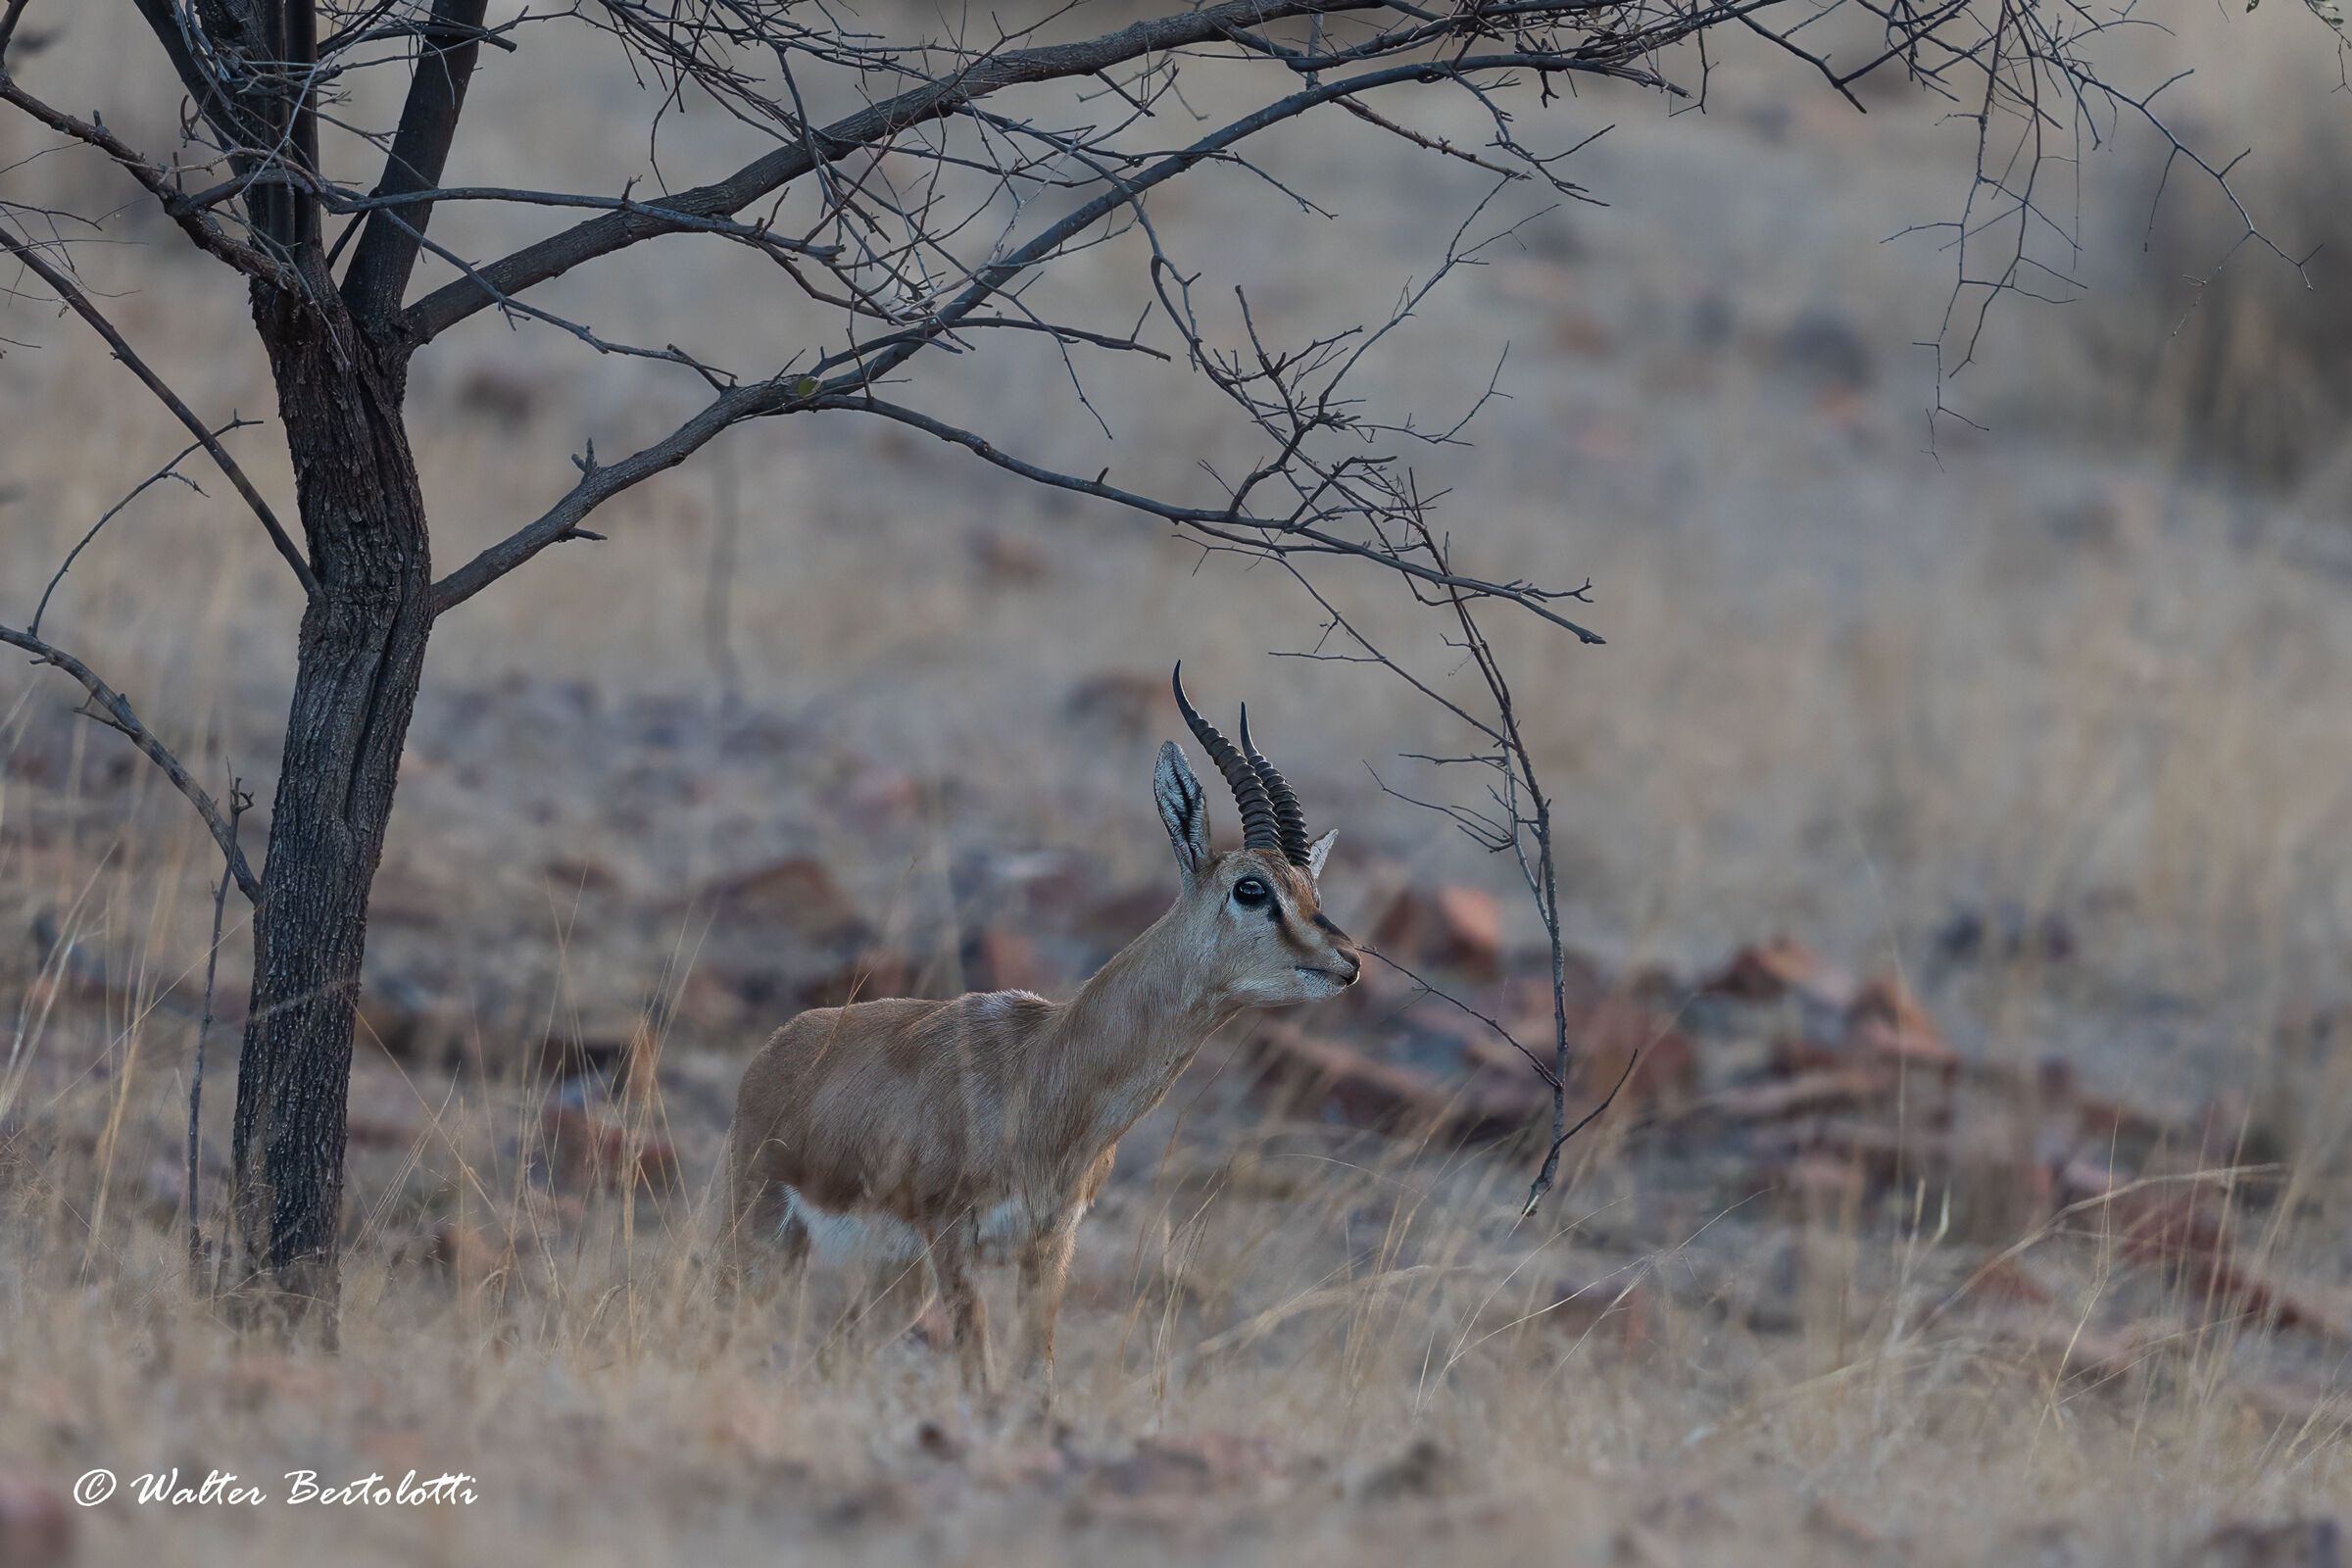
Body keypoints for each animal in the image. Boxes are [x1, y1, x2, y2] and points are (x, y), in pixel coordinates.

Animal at [723, 665, 1360, 1392]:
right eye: (1252, 888)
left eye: (1312, 891)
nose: (1348, 962)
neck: (1045, 1069)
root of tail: (778, 1050)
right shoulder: (953, 1239)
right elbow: (980, 1381)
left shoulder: (1050, 1247)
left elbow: (1035, 1383)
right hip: (768, 1234)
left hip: (891, 1274)